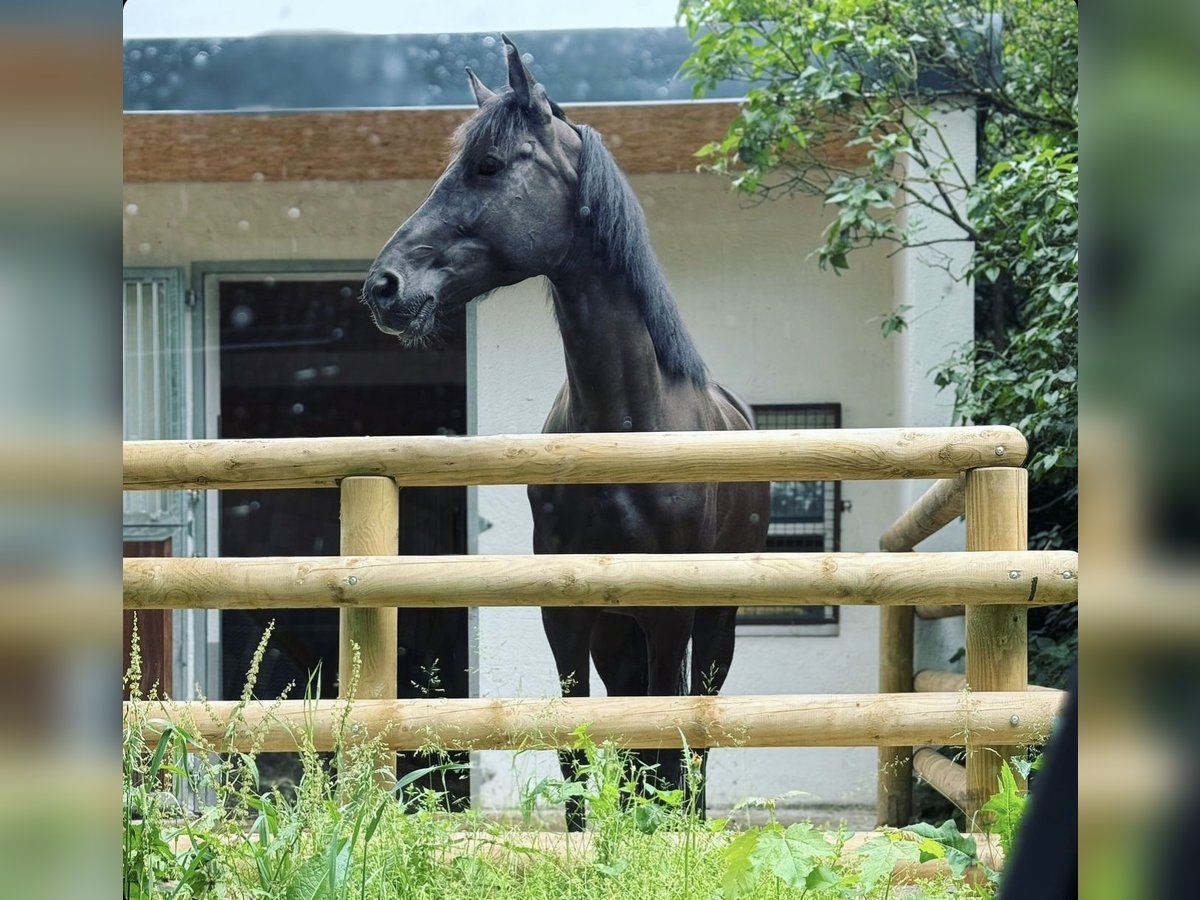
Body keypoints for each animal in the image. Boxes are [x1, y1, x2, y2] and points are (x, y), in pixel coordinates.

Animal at [362, 37, 768, 830]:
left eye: (489, 165)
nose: (383, 286)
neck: (624, 429)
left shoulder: (670, 617)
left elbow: (667, 752)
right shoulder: (567, 618)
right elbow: (579, 753)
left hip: (715, 626)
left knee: (697, 746)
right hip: (620, 637)